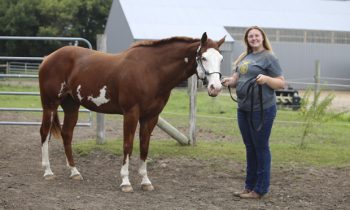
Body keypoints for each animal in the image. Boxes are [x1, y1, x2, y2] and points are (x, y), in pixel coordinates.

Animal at [38, 32, 224, 192]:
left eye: (221, 58)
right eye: (204, 57)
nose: (215, 88)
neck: (151, 70)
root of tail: (48, 58)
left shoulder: (151, 117)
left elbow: (144, 147)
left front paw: (146, 181)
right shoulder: (131, 113)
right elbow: (128, 145)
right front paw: (125, 182)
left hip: (71, 106)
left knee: (67, 134)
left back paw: (74, 172)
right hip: (50, 105)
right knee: (44, 133)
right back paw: (48, 172)